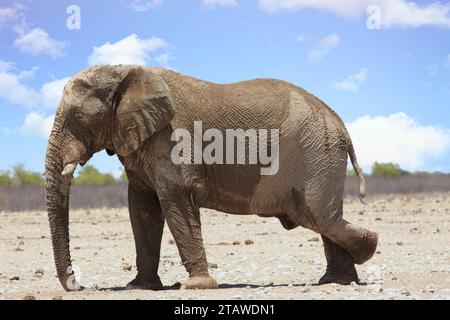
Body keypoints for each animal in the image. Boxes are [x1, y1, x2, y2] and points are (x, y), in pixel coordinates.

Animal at [44, 64, 376, 290]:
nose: (78, 285)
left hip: (317, 151)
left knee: (317, 214)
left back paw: (367, 249)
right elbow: (142, 208)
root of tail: (341, 124)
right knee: (324, 218)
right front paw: (139, 287)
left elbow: (176, 196)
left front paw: (196, 286)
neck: (123, 71)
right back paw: (335, 281)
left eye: (78, 118)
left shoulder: (172, 137)